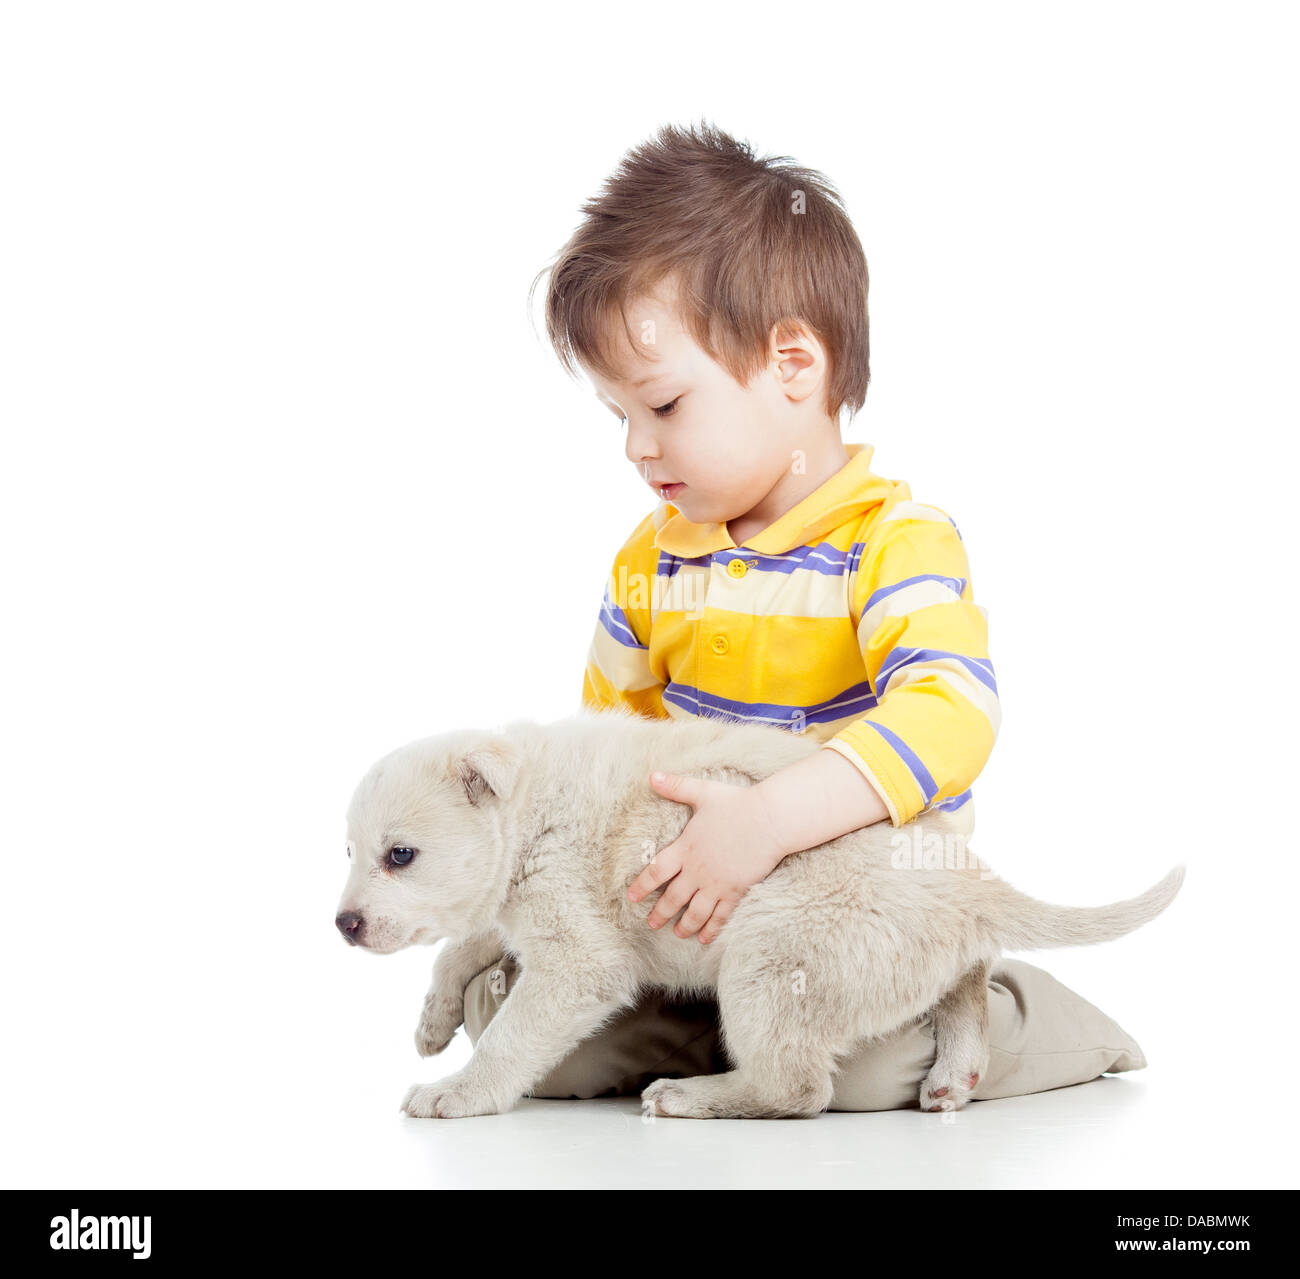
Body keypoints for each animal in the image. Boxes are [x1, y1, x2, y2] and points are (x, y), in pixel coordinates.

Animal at [332, 707, 1180, 1117]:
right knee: (969, 975)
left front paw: (454, 1092)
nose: (343, 924)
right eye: (349, 851)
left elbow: (509, 1036)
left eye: (399, 854)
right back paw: (953, 1075)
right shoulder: (512, 908)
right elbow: (465, 941)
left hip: (773, 949)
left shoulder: (579, 959)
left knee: (798, 1085)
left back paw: (690, 1096)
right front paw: (434, 1020)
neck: (533, 803)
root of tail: (967, 877)